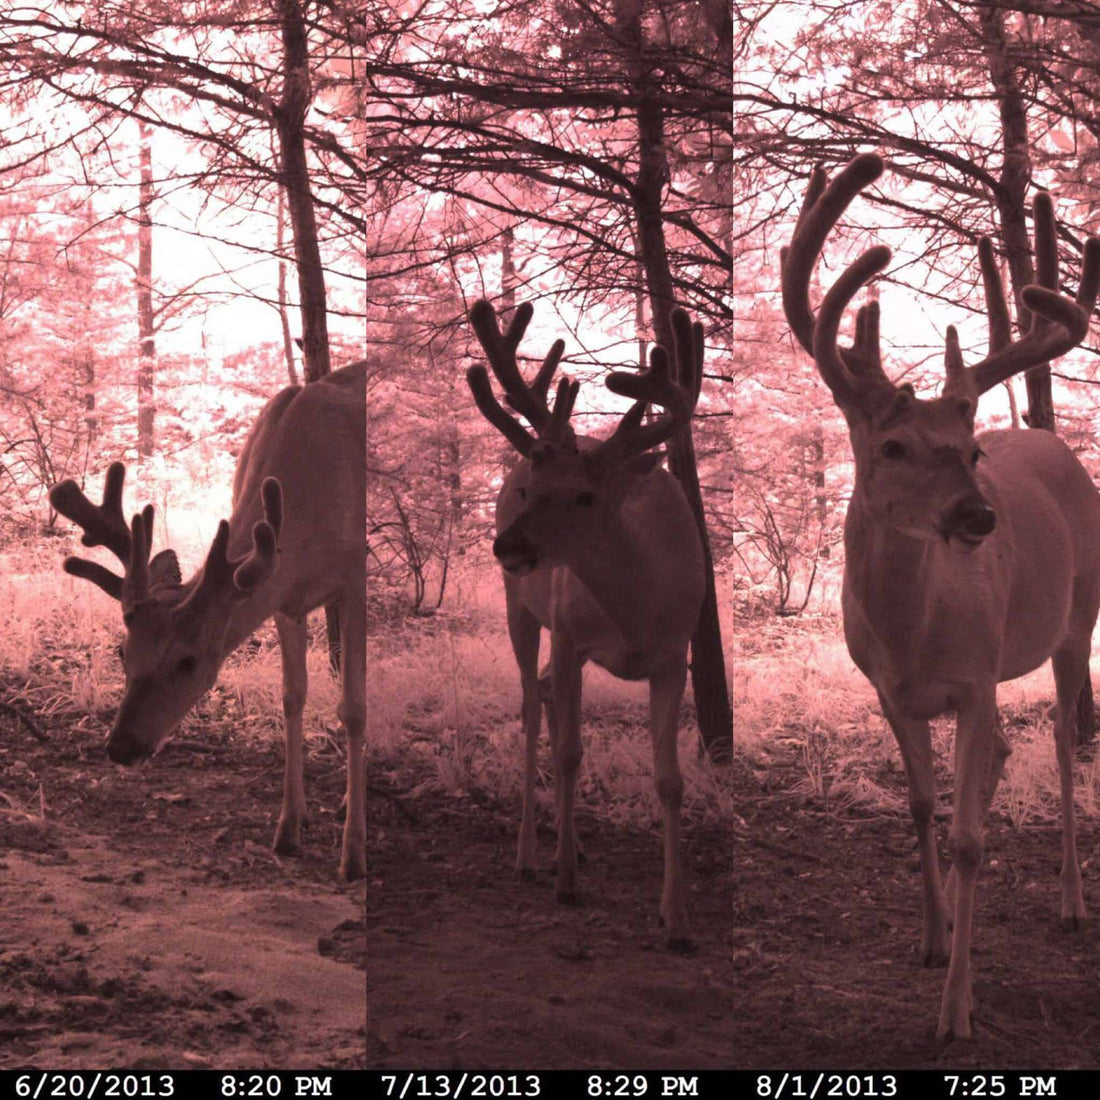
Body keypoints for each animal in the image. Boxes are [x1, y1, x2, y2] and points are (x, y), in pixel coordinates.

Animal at [49, 362, 366, 882]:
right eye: (122, 651)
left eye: (189, 661)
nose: (121, 746)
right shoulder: (281, 594)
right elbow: (292, 697)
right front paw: (288, 827)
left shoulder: (354, 580)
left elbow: (353, 709)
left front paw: (352, 854)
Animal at [465, 300, 706, 949]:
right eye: (533, 490)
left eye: (584, 496)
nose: (507, 545)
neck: (636, 612)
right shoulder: (572, 635)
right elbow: (571, 751)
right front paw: (567, 882)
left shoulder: (676, 656)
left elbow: (670, 780)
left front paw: (676, 918)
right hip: (520, 610)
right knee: (532, 705)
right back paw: (532, 854)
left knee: (546, 691)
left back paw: (565, 843)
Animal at [781, 152, 1100, 1040]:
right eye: (893, 446)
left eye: (969, 449)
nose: (978, 515)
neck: (910, 635)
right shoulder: (890, 689)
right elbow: (923, 807)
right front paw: (932, 936)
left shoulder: (974, 675)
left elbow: (965, 839)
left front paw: (956, 1009)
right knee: (1004, 754)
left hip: (1076, 620)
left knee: (1060, 740)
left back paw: (1071, 901)